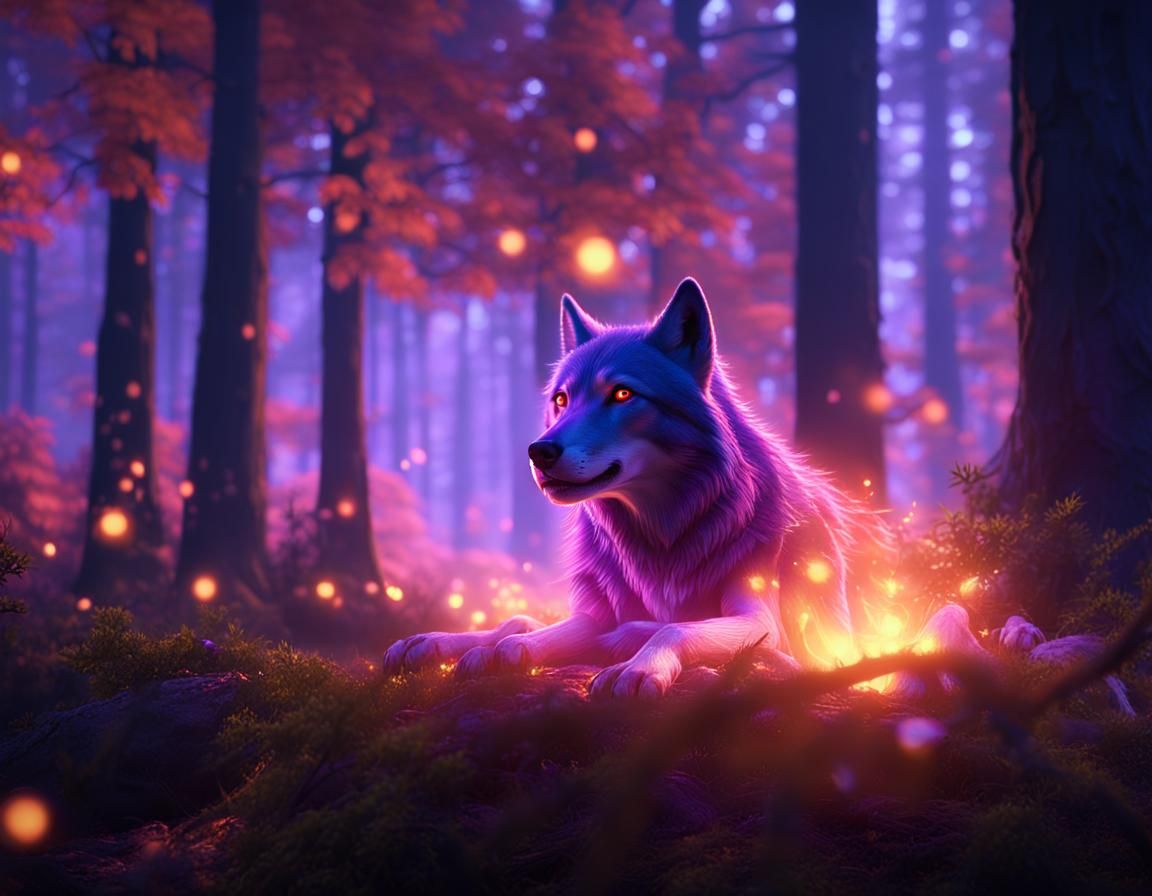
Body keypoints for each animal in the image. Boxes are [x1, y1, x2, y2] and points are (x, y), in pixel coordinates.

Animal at [384, 278, 883, 697]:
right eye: (561, 399)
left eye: (623, 394)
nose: (538, 452)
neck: (663, 533)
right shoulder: (598, 612)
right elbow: (519, 636)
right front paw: (466, 648)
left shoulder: (762, 619)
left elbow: (673, 628)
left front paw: (636, 667)